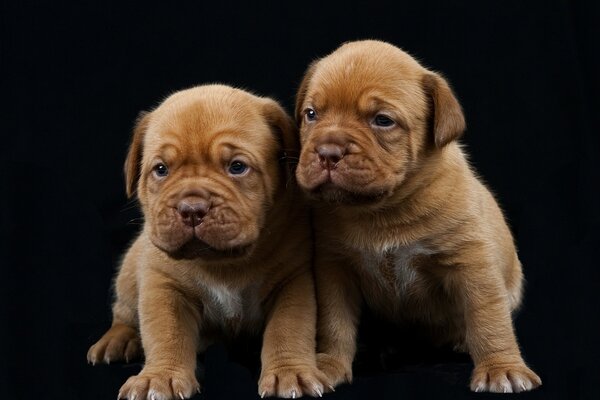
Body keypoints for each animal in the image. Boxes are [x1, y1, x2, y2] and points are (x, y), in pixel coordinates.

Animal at [86, 83, 326, 396]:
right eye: (161, 170)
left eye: (237, 167)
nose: (191, 209)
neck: (223, 263)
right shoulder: (164, 285)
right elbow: (166, 333)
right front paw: (160, 377)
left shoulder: (292, 281)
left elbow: (288, 327)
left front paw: (290, 372)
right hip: (128, 271)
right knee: (123, 311)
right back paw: (118, 339)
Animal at [296, 41, 544, 394]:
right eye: (311, 114)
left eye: (382, 120)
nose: (328, 152)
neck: (383, 211)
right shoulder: (334, 269)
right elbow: (334, 322)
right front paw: (329, 364)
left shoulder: (471, 262)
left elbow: (488, 318)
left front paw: (502, 367)